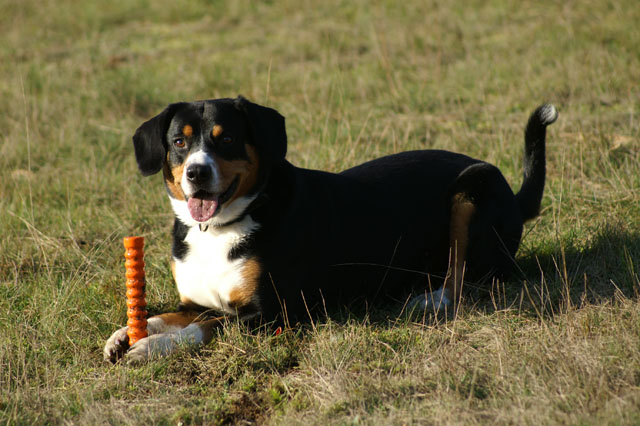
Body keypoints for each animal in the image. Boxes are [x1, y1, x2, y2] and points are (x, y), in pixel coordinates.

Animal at [104, 96, 557, 363]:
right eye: (179, 143)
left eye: (227, 138)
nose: (197, 173)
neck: (219, 229)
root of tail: (516, 198)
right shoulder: (196, 302)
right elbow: (164, 316)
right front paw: (124, 334)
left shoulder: (274, 311)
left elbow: (207, 329)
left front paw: (153, 347)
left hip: (471, 188)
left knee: (466, 276)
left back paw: (431, 299)